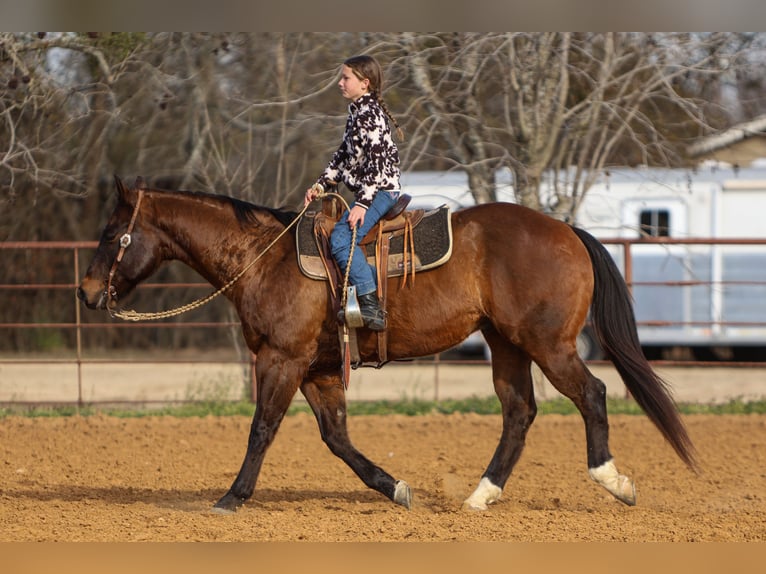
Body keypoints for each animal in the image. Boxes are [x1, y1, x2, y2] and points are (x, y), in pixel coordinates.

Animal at [76, 178, 696, 516]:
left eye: (111, 233)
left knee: (591, 394)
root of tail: (566, 231)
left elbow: (262, 429)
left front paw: (232, 497)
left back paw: (613, 482)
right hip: (506, 344)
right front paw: (394, 487)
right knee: (519, 411)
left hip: (549, 344)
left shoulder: (281, 359)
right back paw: (481, 495)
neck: (264, 259)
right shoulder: (317, 369)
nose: (85, 292)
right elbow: (337, 438)